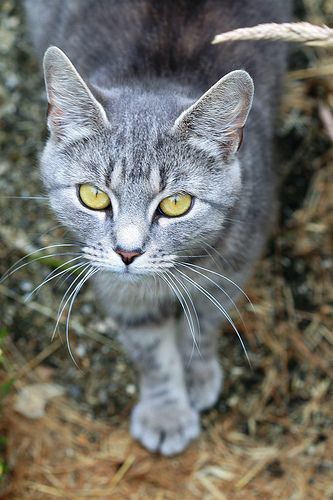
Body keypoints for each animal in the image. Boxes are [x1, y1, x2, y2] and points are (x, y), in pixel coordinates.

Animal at [24, 0, 288, 454]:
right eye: (93, 196)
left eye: (176, 204)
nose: (127, 253)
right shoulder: (117, 288)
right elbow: (150, 349)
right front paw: (166, 410)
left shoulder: (235, 264)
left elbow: (204, 321)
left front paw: (197, 372)